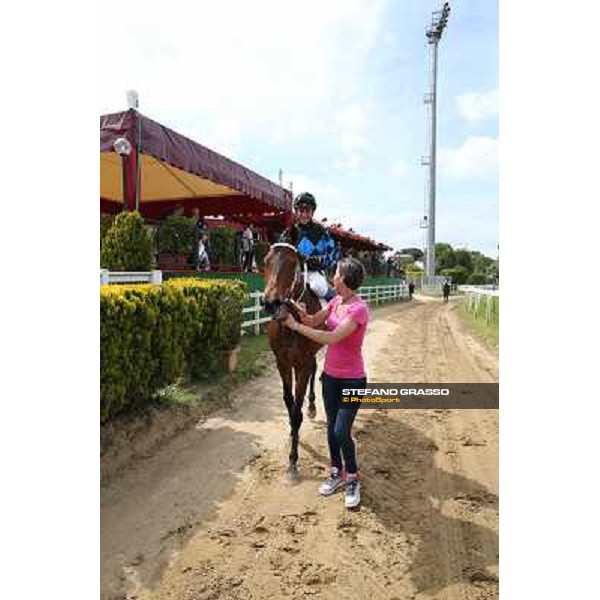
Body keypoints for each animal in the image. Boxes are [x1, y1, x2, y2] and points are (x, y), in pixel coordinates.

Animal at [262, 230, 324, 478]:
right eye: (265, 261)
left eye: (291, 263)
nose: (270, 303)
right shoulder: (283, 362)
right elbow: (288, 402)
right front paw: (291, 433)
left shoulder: (302, 363)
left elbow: (296, 409)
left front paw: (293, 459)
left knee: (315, 371)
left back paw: (312, 406)